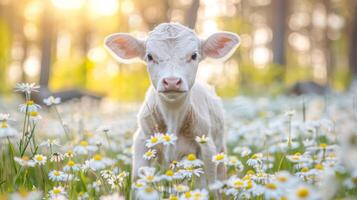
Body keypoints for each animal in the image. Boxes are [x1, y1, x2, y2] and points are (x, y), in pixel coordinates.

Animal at [105, 23, 239, 189]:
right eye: (150, 56)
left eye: (194, 55)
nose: (172, 81)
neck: (172, 116)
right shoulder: (142, 141)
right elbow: (138, 178)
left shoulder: (207, 147)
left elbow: (207, 186)